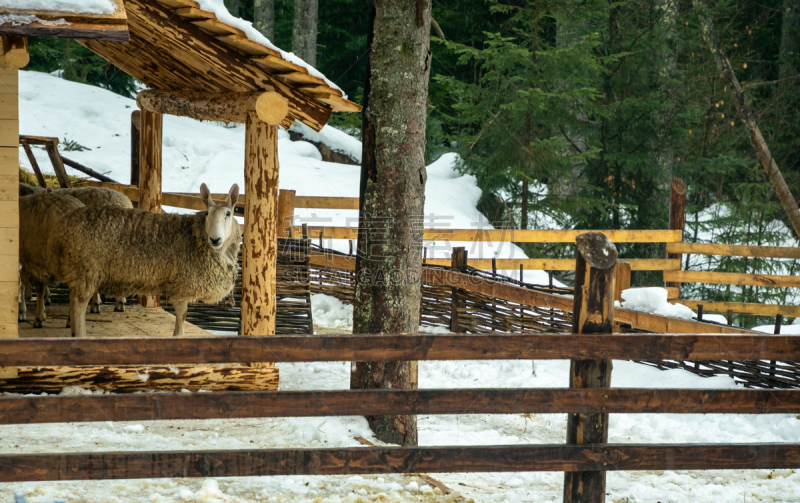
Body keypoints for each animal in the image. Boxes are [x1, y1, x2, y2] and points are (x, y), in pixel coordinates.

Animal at [50, 184, 241, 338]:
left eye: (228, 214)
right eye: (207, 213)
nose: (215, 239)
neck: (195, 236)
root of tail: (64, 225)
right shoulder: (181, 284)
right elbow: (181, 318)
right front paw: (179, 337)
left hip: (79, 270)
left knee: (74, 299)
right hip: (86, 269)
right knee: (79, 305)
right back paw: (80, 335)